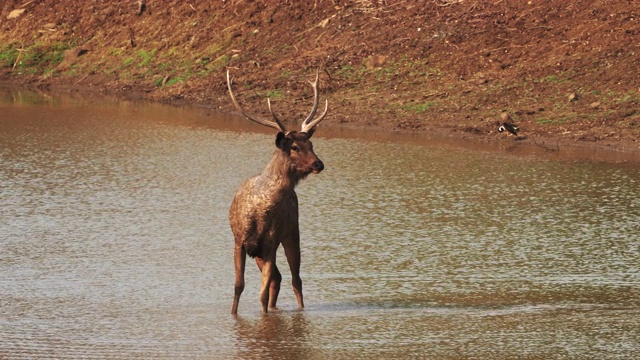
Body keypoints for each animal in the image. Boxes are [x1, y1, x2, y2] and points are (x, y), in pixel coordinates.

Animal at [226, 70, 330, 316]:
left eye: (311, 144)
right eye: (294, 147)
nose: (319, 164)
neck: (257, 210)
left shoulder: (271, 242)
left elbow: (261, 294)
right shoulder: (240, 242)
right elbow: (238, 286)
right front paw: (234, 316)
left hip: (291, 231)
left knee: (295, 279)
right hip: (262, 249)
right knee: (279, 278)